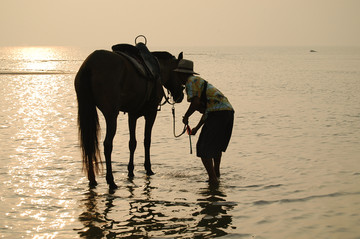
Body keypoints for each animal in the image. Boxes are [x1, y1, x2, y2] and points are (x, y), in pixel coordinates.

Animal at [74, 49, 184, 189]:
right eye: (180, 73)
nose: (180, 95)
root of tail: (89, 65)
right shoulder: (151, 113)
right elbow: (147, 141)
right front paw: (148, 168)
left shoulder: (132, 115)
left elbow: (132, 143)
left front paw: (131, 170)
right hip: (111, 115)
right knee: (107, 144)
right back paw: (111, 180)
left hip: (87, 109)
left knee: (89, 143)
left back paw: (92, 179)